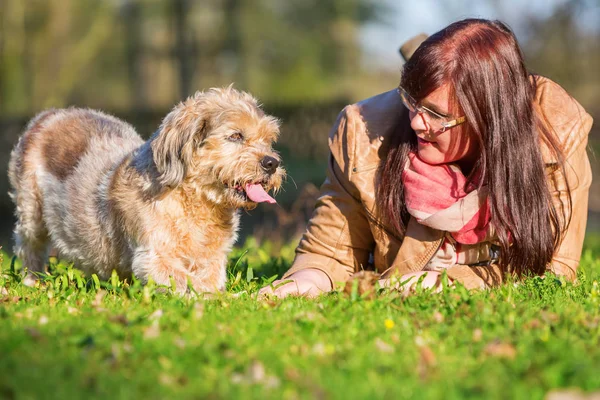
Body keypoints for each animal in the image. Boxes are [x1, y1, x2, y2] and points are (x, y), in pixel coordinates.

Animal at [7, 86, 284, 294]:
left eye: (268, 140)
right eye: (236, 136)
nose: (272, 163)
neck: (196, 201)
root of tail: (48, 115)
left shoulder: (214, 259)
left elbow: (209, 282)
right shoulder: (152, 258)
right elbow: (186, 282)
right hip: (31, 213)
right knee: (29, 247)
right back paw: (33, 281)